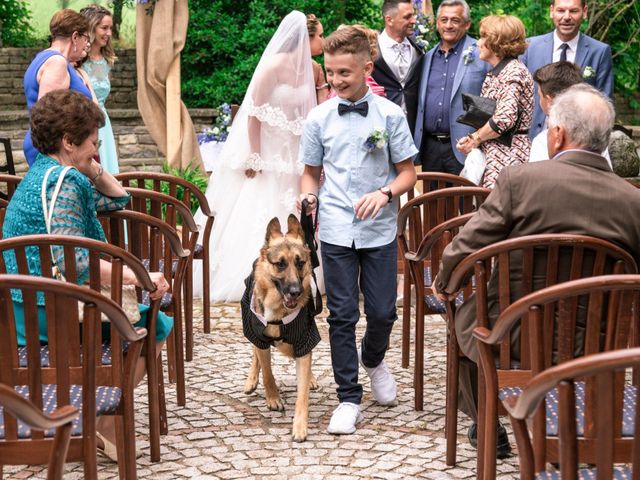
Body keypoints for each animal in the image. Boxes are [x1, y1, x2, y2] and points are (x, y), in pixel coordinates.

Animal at [241, 216, 320, 440]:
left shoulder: (305, 341)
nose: (295, 291)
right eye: (280, 264)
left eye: (300, 262)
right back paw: (251, 380)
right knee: (256, 354)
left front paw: (300, 426)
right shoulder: (259, 335)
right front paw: (273, 398)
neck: (279, 312)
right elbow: (267, 372)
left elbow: (302, 393)